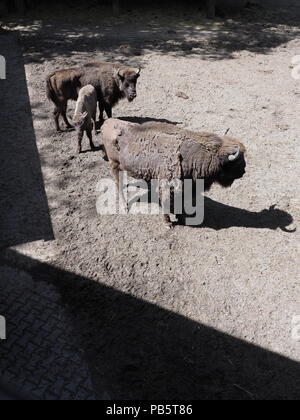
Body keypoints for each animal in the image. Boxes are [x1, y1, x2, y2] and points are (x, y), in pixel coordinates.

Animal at [101, 118, 246, 226]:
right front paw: (168, 223)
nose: (244, 171)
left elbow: (179, 203)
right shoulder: (167, 186)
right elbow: (166, 203)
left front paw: (181, 217)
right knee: (117, 183)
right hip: (114, 164)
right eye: (237, 162)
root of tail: (106, 123)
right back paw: (125, 206)